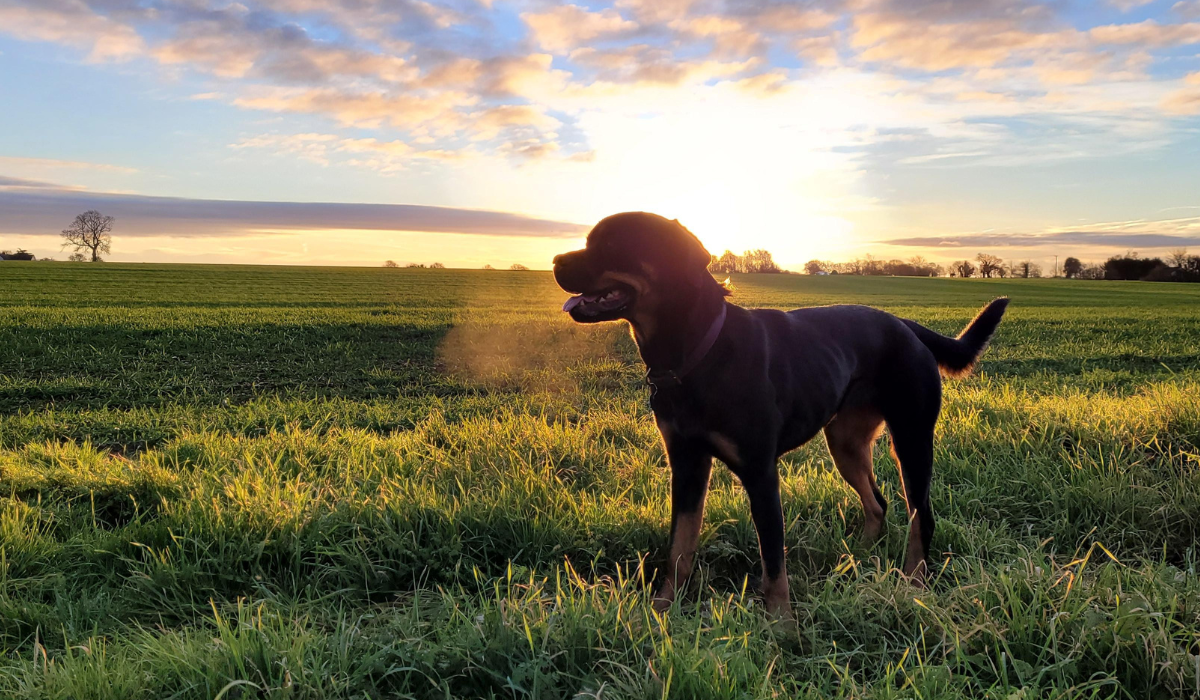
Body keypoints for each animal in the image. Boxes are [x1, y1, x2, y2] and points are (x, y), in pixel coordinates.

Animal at [556, 212, 1008, 614]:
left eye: (613, 244)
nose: (556, 261)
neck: (698, 351)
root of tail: (906, 325)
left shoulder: (760, 472)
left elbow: (773, 560)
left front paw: (782, 628)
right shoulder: (686, 465)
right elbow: (679, 547)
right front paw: (662, 612)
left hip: (912, 439)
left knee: (921, 517)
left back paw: (913, 585)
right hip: (844, 442)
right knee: (877, 503)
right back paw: (859, 557)